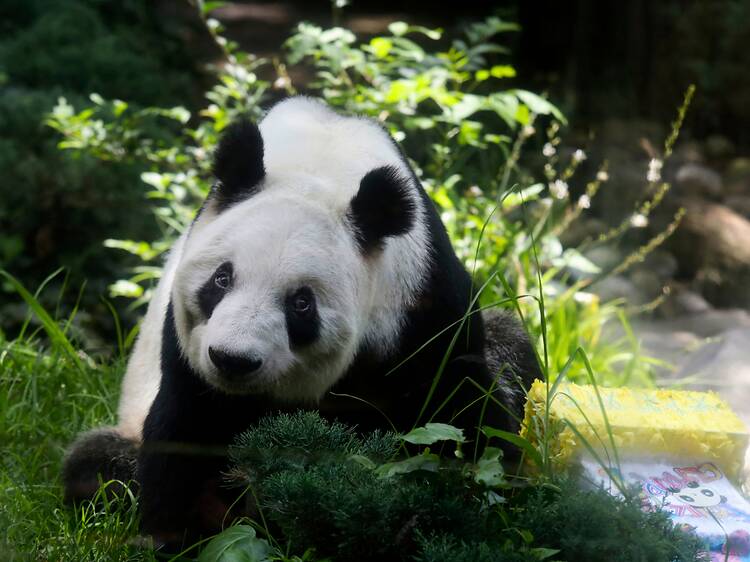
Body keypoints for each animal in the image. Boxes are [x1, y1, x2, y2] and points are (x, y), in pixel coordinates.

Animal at [62, 97, 540, 546]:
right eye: (222, 278)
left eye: (301, 304)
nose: (233, 360)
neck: (320, 163)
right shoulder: (187, 346)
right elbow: (188, 421)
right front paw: (181, 533)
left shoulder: (420, 300)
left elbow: (459, 401)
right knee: (97, 463)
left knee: (511, 343)